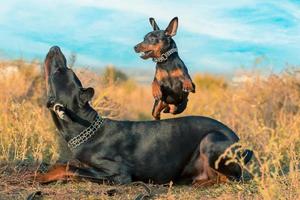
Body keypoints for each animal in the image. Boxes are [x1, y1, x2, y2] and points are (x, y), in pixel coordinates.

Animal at [34, 46, 252, 187]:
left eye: (61, 70)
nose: (55, 47)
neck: (85, 127)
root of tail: (241, 142)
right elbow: (66, 164)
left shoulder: (118, 173)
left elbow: (69, 168)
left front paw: (41, 177)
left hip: (210, 140)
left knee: (232, 178)